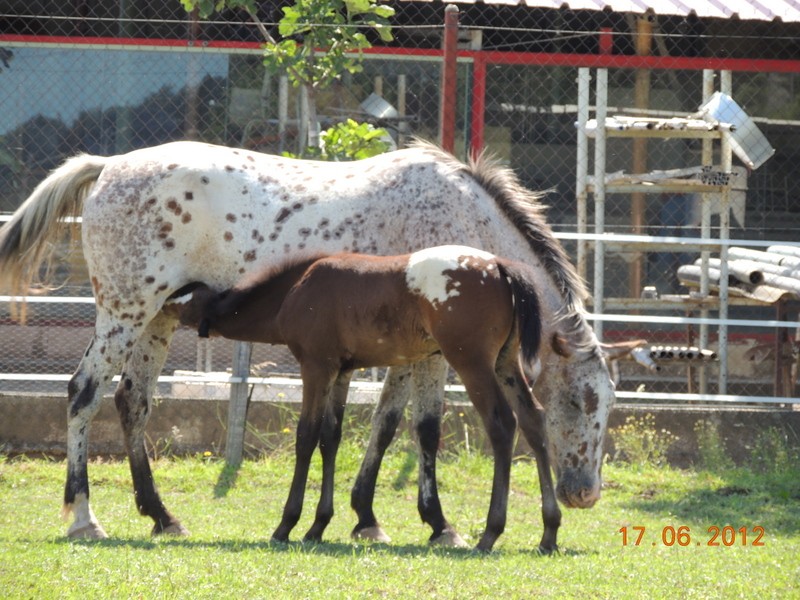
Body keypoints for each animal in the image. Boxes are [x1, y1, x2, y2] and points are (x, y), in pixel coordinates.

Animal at [0, 141, 620, 552]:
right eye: (579, 402)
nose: (586, 494)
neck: (467, 229)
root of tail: (109, 166)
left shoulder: (400, 356)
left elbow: (383, 426)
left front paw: (366, 516)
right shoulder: (431, 358)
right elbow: (419, 429)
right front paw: (435, 523)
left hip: (156, 320)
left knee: (133, 401)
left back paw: (161, 515)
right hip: (123, 314)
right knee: (83, 393)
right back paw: (84, 517)